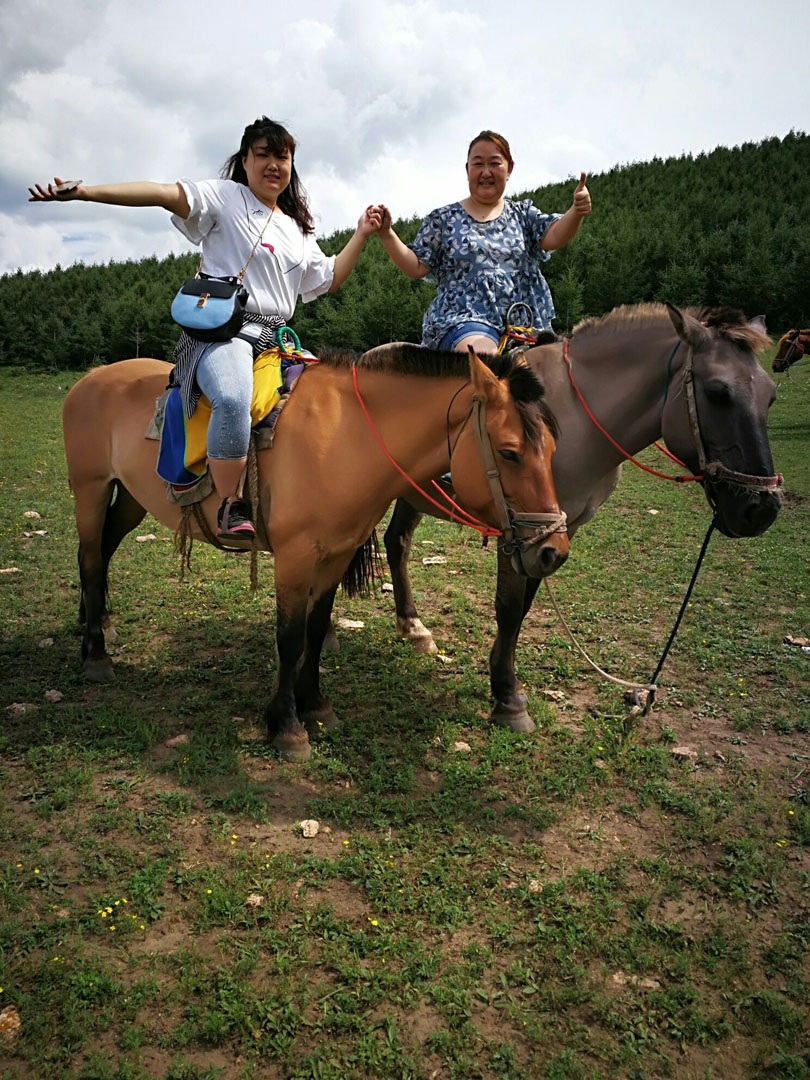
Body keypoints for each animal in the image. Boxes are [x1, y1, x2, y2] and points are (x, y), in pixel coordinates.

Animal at [63, 345, 565, 760]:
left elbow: (317, 627)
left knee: (104, 550)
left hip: (131, 497)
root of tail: (90, 378)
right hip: (90, 490)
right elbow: (290, 637)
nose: (552, 550)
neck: (348, 437)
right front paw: (286, 725)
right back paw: (95, 654)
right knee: (90, 559)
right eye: (510, 452)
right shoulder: (295, 556)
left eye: (553, 448)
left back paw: (98, 619)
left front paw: (315, 705)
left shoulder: (336, 553)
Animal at [384, 300, 786, 730]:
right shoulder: (519, 527)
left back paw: (412, 627)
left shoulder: (558, 534)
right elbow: (508, 608)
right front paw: (507, 699)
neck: (575, 422)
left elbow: (524, 608)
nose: (761, 509)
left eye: (771, 397)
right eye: (717, 392)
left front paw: (504, 679)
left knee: (397, 542)